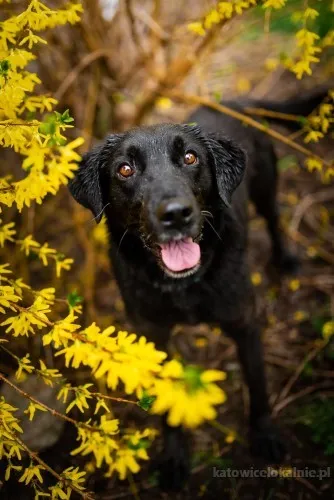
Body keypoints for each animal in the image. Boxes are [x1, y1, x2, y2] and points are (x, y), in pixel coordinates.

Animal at [69, 88, 328, 490]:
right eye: (125, 169)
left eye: (190, 157)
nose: (176, 213)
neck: (185, 283)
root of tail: (236, 101)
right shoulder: (153, 335)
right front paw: (174, 456)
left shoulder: (244, 323)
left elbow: (258, 385)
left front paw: (265, 435)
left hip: (267, 182)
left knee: (273, 218)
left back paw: (285, 259)